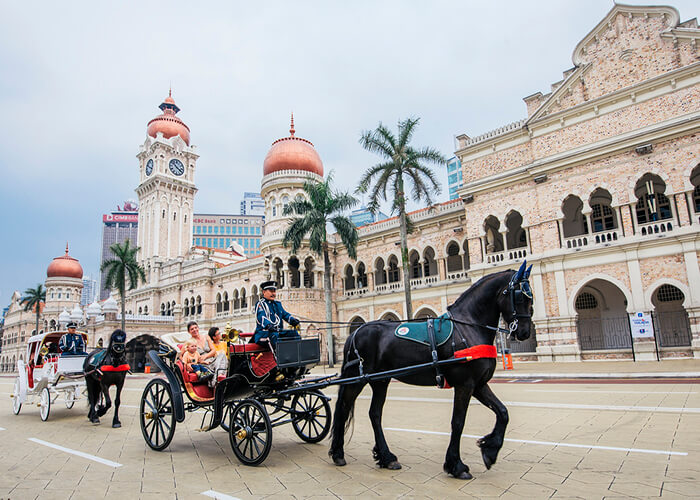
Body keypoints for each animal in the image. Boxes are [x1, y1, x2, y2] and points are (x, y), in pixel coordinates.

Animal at [330, 260, 532, 478]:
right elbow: (458, 422)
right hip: (356, 379)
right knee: (343, 408)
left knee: (374, 414)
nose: (524, 332)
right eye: (519, 295)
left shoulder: (478, 384)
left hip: (380, 380)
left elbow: (503, 412)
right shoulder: (465, 385)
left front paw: (490, 450)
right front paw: (456, 465)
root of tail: (355, 332)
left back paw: (387, 457)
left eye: (531, 296)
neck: (468, 326)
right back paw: (338, 453)